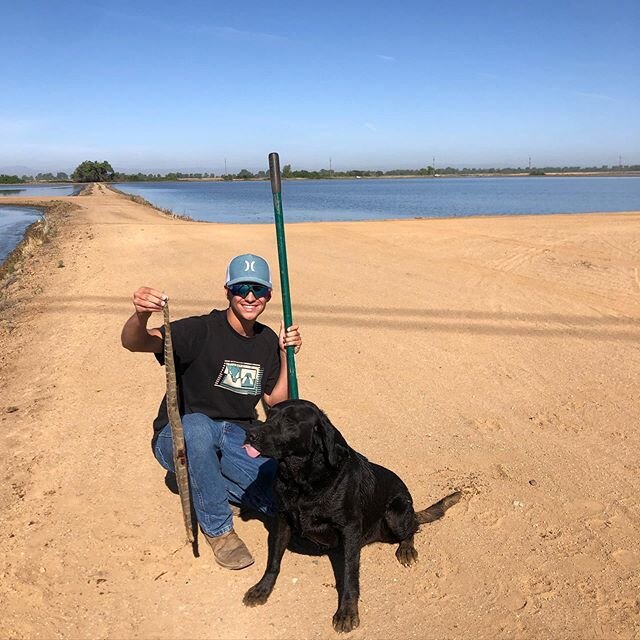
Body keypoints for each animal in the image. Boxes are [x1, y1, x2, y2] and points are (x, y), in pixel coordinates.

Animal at [241, 398, 460, 632]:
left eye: (290, 421)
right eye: (269, 415)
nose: (250, 434)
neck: (302, 480)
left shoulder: (350, 529)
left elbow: (349, 576)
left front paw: (347, 611)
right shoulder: (283, 519)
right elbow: (273, 561)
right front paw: (262, 589)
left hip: (396, 514)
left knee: (413, 527)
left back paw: (407, 548)